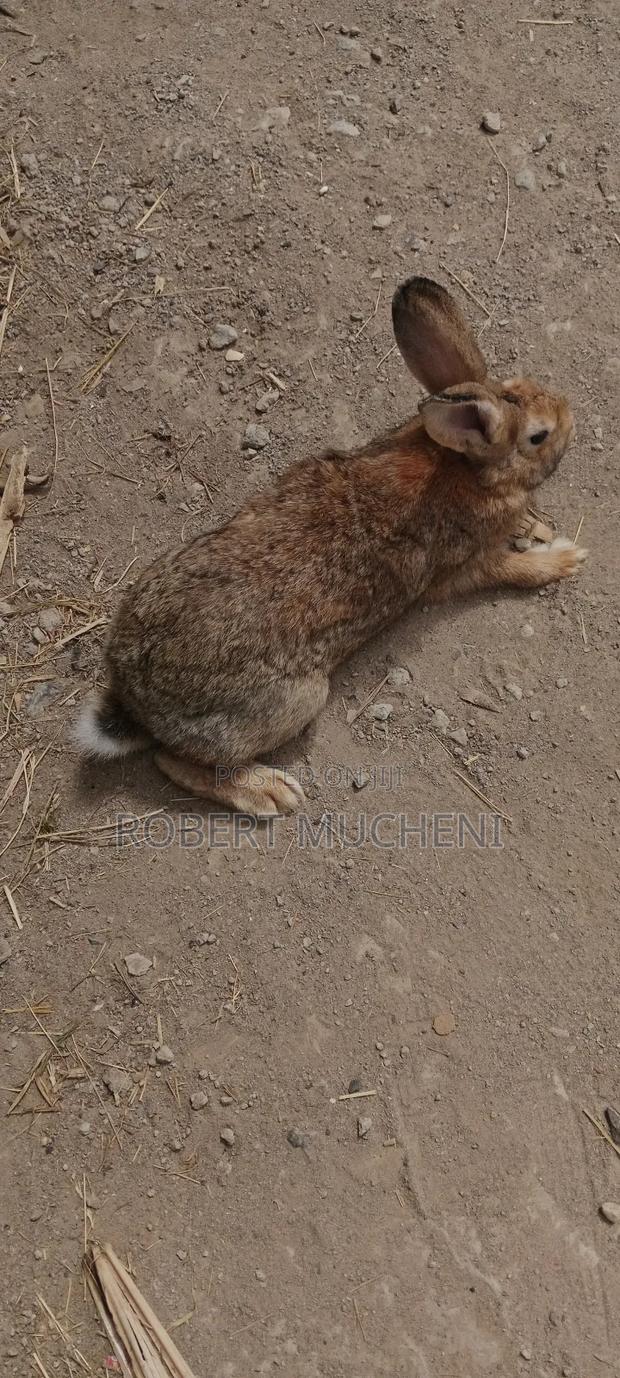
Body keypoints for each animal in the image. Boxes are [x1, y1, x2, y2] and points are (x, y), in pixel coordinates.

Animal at [74, 276, 585, 817]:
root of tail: (138, 700)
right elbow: (510, 568)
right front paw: (566, 558)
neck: (468, 466)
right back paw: (269, 791)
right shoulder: (464, 566)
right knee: (174, 762)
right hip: (295, 701)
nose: (569, 412)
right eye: (539, 436)